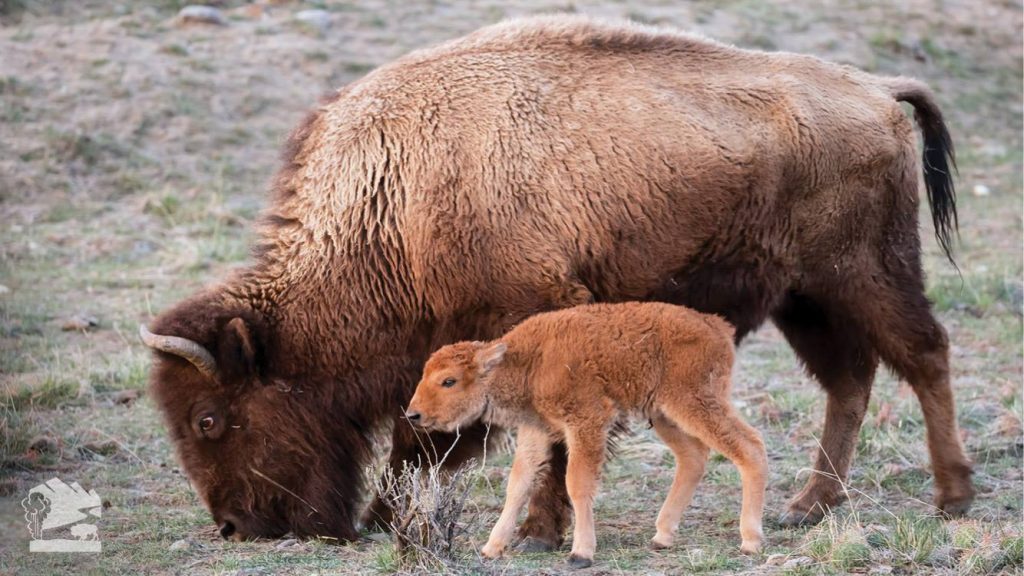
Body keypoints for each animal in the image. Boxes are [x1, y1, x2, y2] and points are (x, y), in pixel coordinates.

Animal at [407, 301, 770, 565]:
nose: (413, 414)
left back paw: (750, 541)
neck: (529, 360)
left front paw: (581, 553)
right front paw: (491, 548)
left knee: (750, 447)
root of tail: (715, 325)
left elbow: (578, 483)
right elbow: (518, 485)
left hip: (694, 402)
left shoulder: (587, 422)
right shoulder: (536, 430)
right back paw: (662, 536)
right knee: (693, 457)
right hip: (663, 413)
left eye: (449, 380)